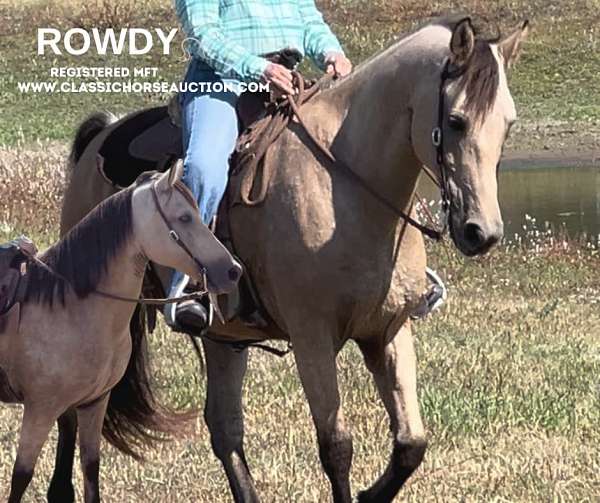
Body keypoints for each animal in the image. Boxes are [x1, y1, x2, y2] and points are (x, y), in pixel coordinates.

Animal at [0, 163, 239, 502]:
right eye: (184, 218)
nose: (233, 271)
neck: (69, 308)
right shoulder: (40, 409)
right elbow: (21, 478)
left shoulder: (93, 403)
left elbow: (90, 471)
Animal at [56, 15, 528, 503]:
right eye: (455, 121)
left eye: (508, 124)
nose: (481, 232)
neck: (346, 190)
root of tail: (102, 134)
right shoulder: (311, 336)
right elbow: (336, 447)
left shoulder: (389, 329)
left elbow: (411, 443)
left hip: (223, 337)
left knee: (224, 429)